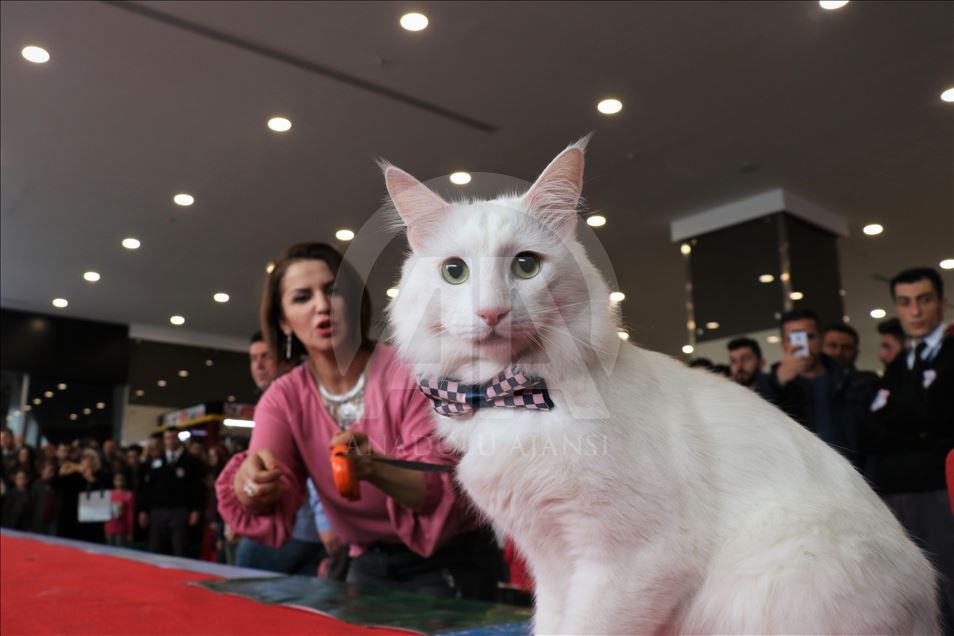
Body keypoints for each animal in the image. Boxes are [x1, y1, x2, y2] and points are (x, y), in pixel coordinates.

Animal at [382, 140, 936, 636]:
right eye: (455, 272)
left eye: (526, 265)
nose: (492, 312)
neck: (515, 399)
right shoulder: (551, 563)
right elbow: (552, 625)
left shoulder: (632, 561)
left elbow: (585, 629)